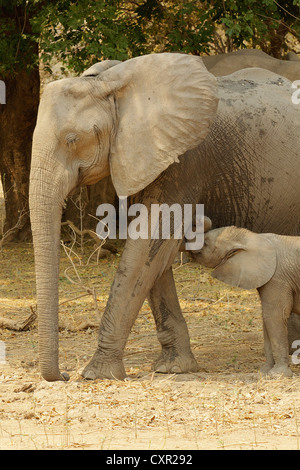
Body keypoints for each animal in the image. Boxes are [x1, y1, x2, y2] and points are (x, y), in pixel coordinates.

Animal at [191, 224, 300, 378]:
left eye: (205, 242)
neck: (254, 237)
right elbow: (266, 319)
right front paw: (264, 372)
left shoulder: (278, 278)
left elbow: (274, 317)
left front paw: (278, 374)